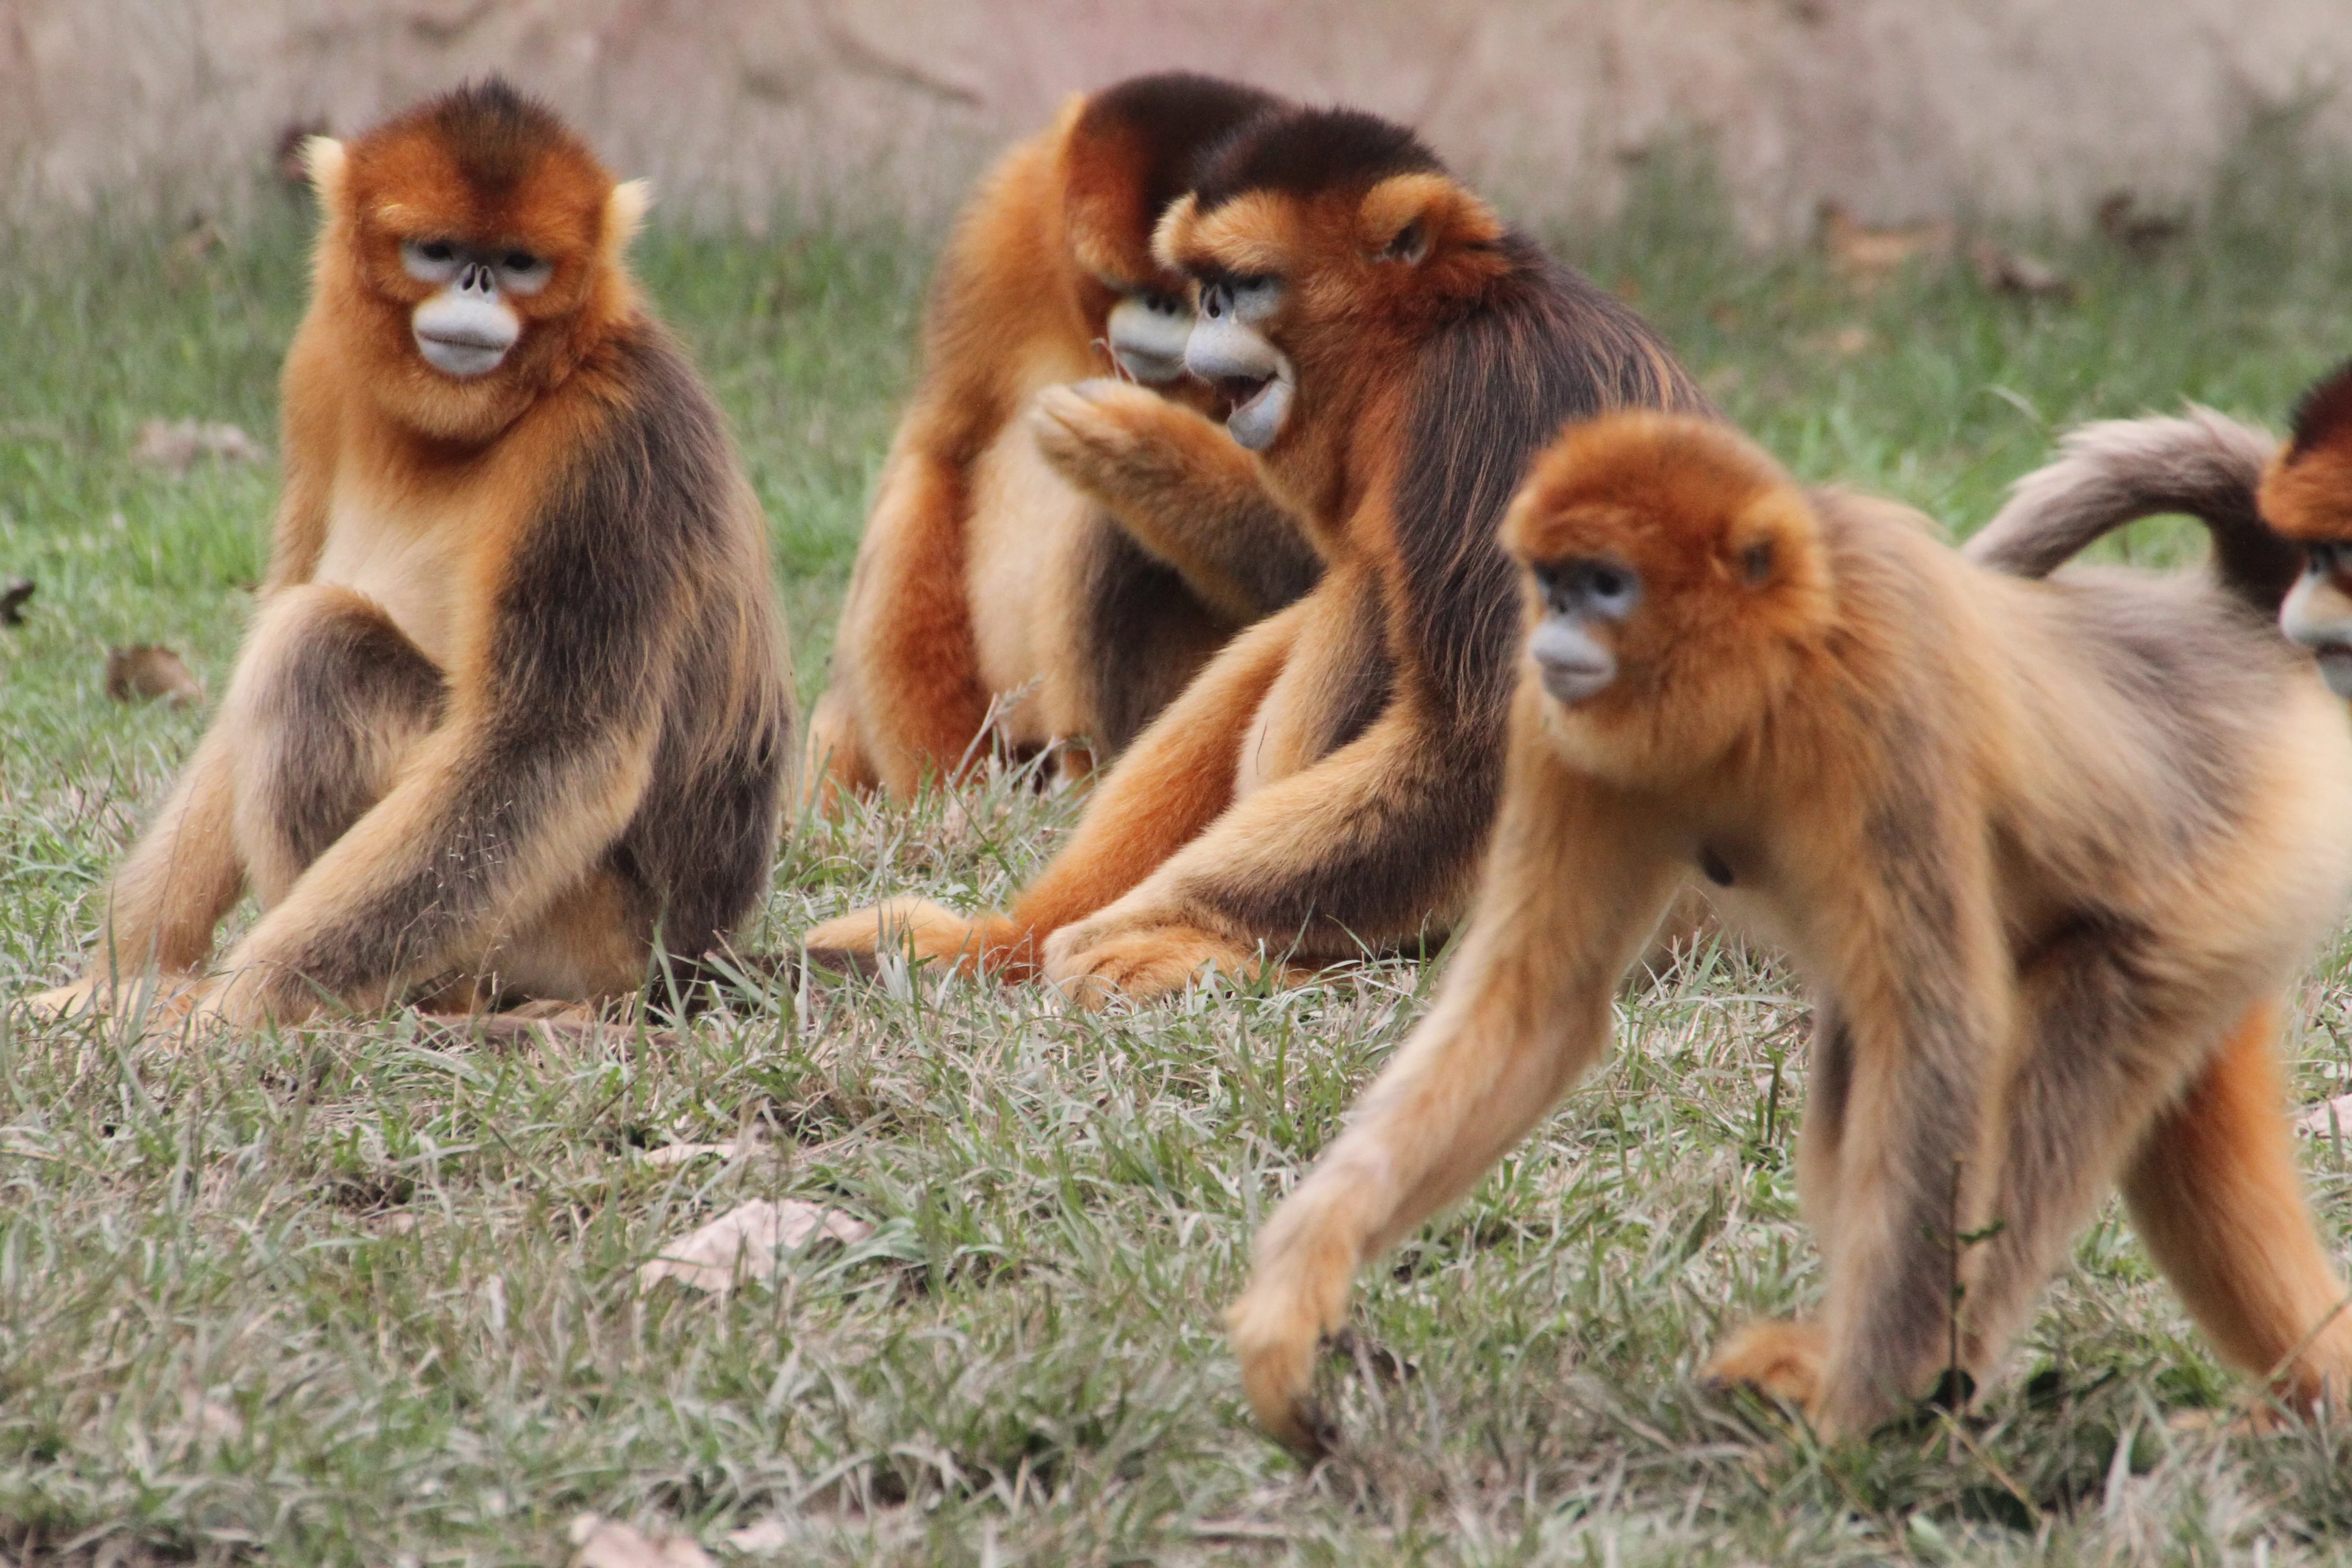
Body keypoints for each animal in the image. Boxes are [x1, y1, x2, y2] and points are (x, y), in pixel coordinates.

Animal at [30, 79, 792, 1029]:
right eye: (438, 251)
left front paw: (234, 1008)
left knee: (315, 651)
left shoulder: (610, 436)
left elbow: (550, 750)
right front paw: (119, 979)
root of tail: (695, 963)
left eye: (519, 262)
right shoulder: (321, 369)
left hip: (581, 935)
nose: (476, 283)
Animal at [805, 71, 1322, 809]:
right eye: (1134, 284)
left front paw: (1140, 443)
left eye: (1210, 295)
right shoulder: (1008, 213)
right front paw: (944, 794)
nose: (1165, 307)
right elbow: (939, 453)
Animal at [1226, 410, 2352, 1453]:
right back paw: (2312, 1406)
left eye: (1604, 583)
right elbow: (1535, 1007)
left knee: (2059, 1037)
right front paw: (1302, 1287)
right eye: (1551, 582)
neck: (1770, 675)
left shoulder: (1881, 696)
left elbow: (1939, 1038)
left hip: (2230, 871)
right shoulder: (1557, 723)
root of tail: (2232, 633)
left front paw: (1855, 1418)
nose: (1550, 632)